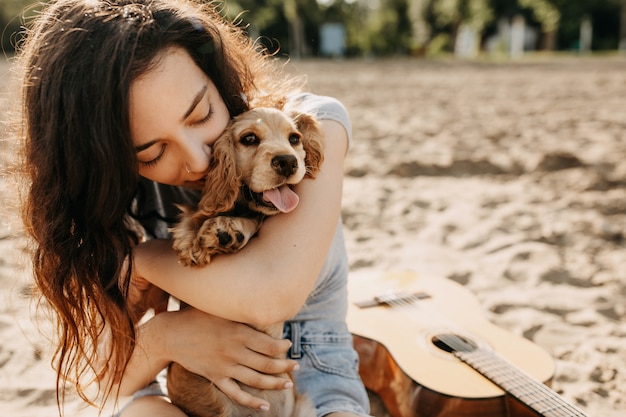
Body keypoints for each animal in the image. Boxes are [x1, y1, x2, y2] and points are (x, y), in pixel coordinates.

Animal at [166, 105, 322, 416]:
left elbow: (251, 220)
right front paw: (190, 239)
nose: (287, 162)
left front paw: (225, 230)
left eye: (294, 139)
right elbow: (196, 214)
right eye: (249, 139)